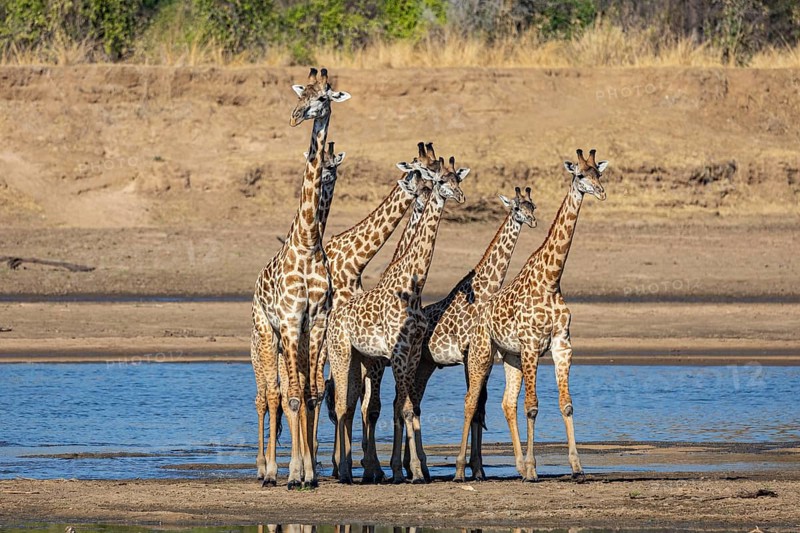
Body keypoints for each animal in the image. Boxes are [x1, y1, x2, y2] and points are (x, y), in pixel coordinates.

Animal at [326, 154, 469, 484]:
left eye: (458, 179)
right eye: (439, 180)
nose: (459, 196)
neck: (413, 287)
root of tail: (333, 317)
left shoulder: (414, 352)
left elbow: (408, 408)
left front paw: (410, 469)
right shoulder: (399, 351)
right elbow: (402, 409)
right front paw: (411, 472)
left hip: (359, 359)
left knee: (350, 404)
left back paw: (350, 468)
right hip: (340, 353)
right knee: (339, 405)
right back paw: (343, 471)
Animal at [397, 187, 537, 480]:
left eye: (533, 207)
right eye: (517, 208)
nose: (531, 221)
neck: (485, 291)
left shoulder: (483, 357)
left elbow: (480, 407)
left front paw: (479, 468)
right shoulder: (468, 354)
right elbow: (473, 405)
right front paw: (471, 467)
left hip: (426, 365)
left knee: (414, 402)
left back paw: (415, 465)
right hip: (415, 364)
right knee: (404, 402)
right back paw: (412, 467)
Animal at [454, 149, 608, 482]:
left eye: (599, 174)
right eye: (580, 175)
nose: (601, 192)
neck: (550, 279)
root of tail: (478, 316)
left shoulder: (562, 345)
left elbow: (566, 405)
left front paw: (577, 467)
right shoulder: (531, 346)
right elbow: (533, 407)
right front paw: (534, 469)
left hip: (509, 357)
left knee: (506, 403)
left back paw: (517, 466)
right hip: (483, 353)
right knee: (471, 402)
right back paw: (460, 470)